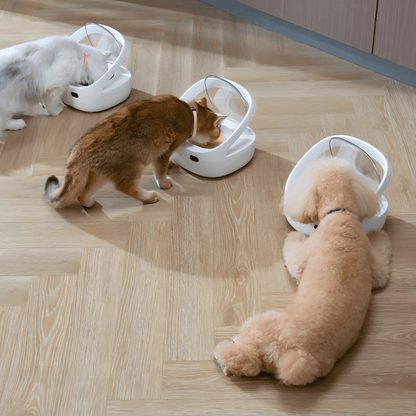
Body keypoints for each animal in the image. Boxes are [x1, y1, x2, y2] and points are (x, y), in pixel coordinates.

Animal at [44, 94, 224, 208]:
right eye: (217, 131)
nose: (217, 136)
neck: (190, 113)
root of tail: (80, 147)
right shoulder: (164, 150)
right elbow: (160, 170)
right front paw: (164, 182)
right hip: (133, 164)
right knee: (125, 187)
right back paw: (150, 197)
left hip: (100, 174)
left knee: (82, 194)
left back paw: (89, 203)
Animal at [216, 158, 392, 386]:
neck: (339, 213)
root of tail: (295, 355)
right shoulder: (376, 267)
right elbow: (382, 256)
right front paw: (381, 235)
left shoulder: (302, 257)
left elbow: (292, 250)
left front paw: (294, 236)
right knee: (251, 365)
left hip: (261, 324)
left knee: (247, 358)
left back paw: (223, 350)